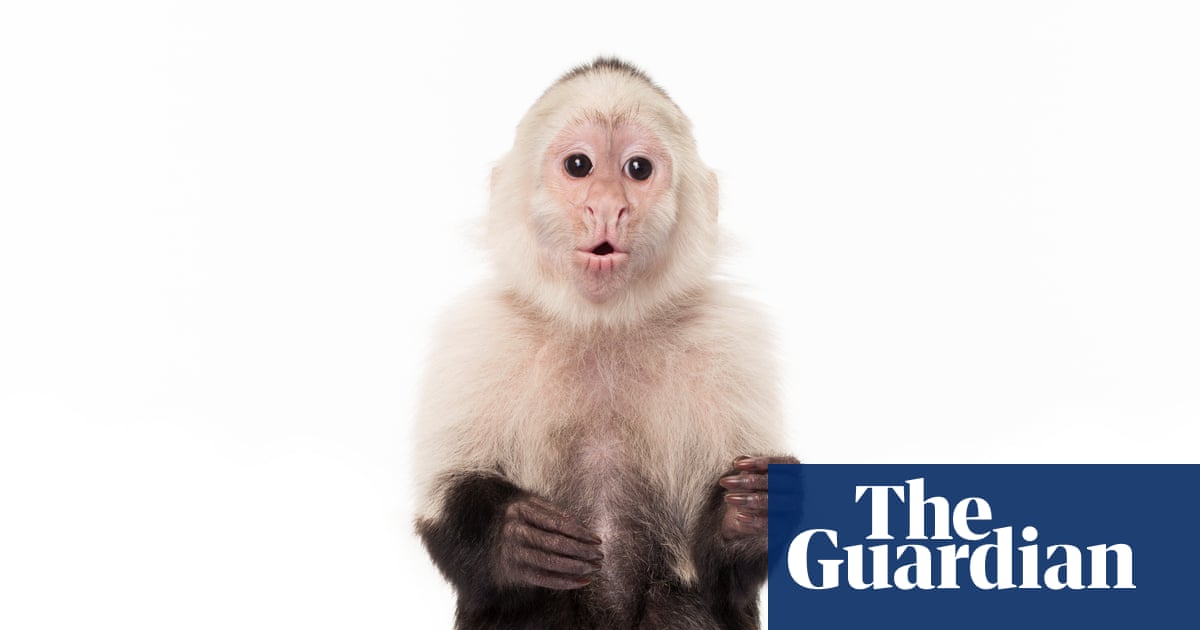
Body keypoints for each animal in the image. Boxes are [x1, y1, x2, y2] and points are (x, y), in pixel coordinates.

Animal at [413, 58, 796, 629]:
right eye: (579, 165)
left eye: (638, 169)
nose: (608, 207)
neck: (602, 327)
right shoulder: (481, 335)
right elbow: (442, 516)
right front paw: (512, 534)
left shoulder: (727, 338)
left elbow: (724, 580)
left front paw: (750, 514)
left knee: (678, 603)